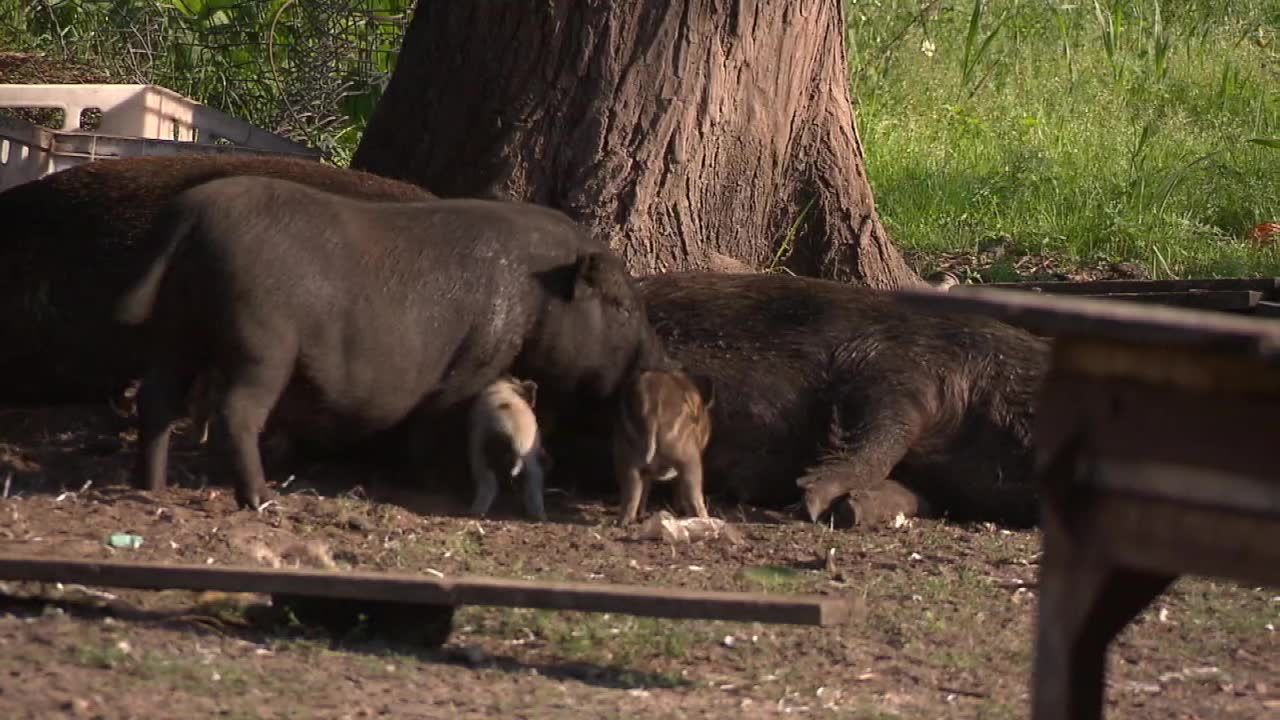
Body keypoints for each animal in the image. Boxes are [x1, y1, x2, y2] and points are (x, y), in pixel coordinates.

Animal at [471, 376, 550, 515]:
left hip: (481, 454)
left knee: (488, 483)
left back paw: (476, 512)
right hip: (528, 457)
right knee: (534, 480)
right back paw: (539, 515)